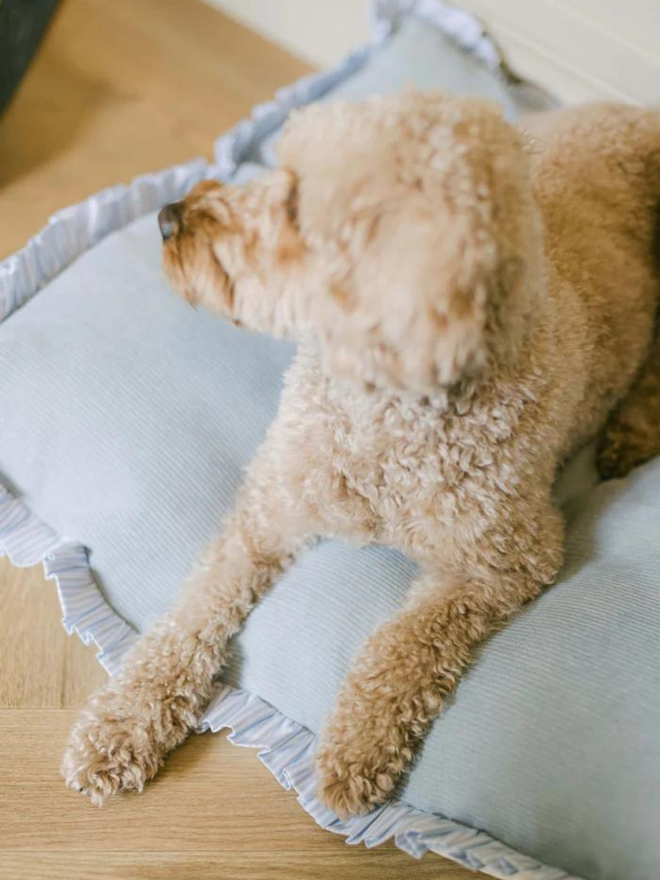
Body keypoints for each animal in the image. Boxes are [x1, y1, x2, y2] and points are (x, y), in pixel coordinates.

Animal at [63, 93, 660, 816]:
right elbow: (196, 607)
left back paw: (634, 430)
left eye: (297, 208)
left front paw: (357, 749)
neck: (381, 419)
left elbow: (405, 643)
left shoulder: (506, 561)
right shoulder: (273, 503)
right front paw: (124, 722)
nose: (167, 216)